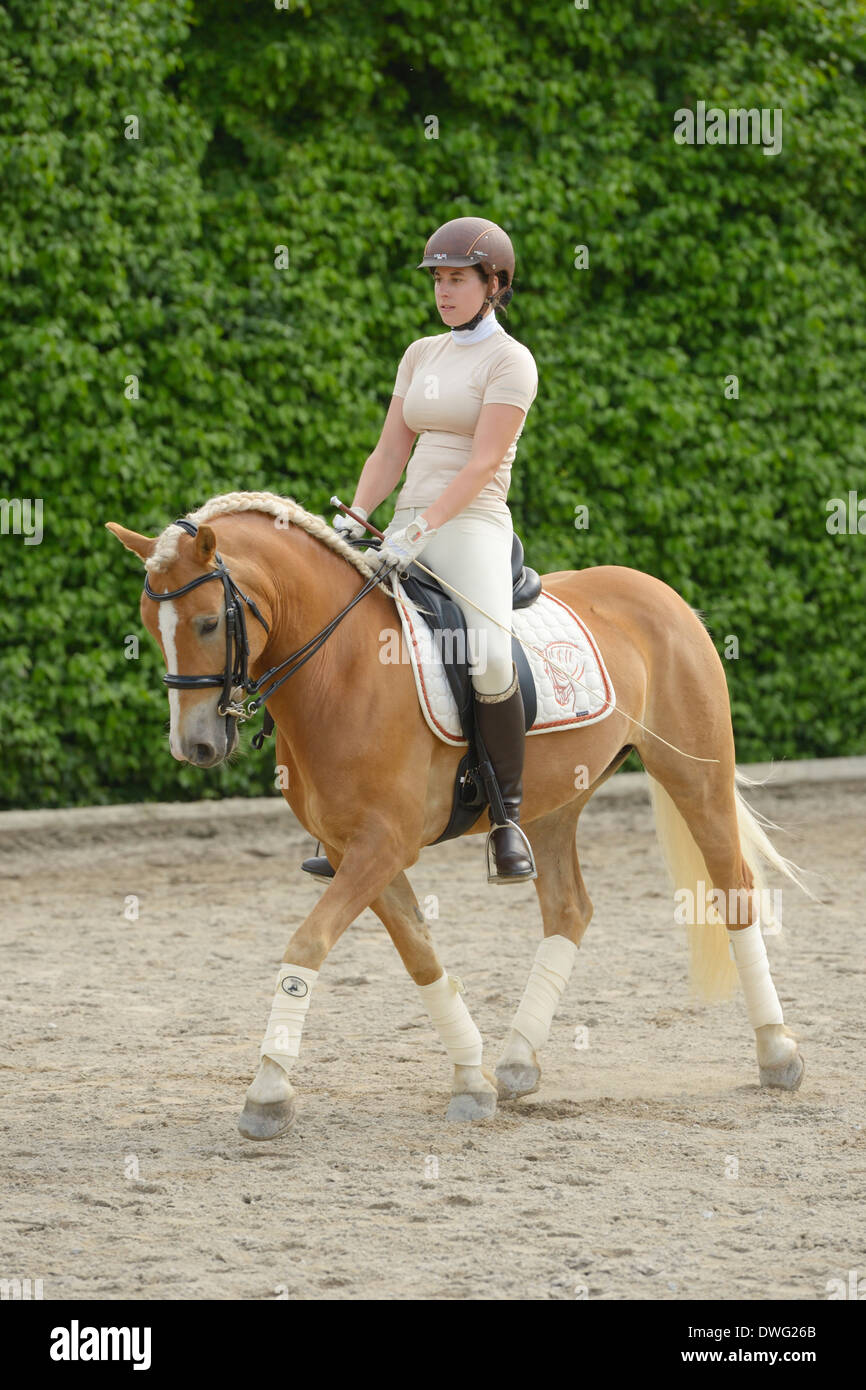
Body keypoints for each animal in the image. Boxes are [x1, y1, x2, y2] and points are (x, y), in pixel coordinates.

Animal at [107, 489, 806, 1139]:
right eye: (150, 624)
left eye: (205, 624)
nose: (194, 747)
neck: (341, 667)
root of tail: (661, 592)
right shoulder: (354, 850)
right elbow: (420, 955)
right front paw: (472, 1079)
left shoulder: (383, 845)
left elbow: (307, 943)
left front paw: (268, 1092)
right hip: (554, 804)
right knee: (570, 909)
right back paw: (517, 1061)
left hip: (696, 776)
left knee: (735, 889)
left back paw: (777, 1053)